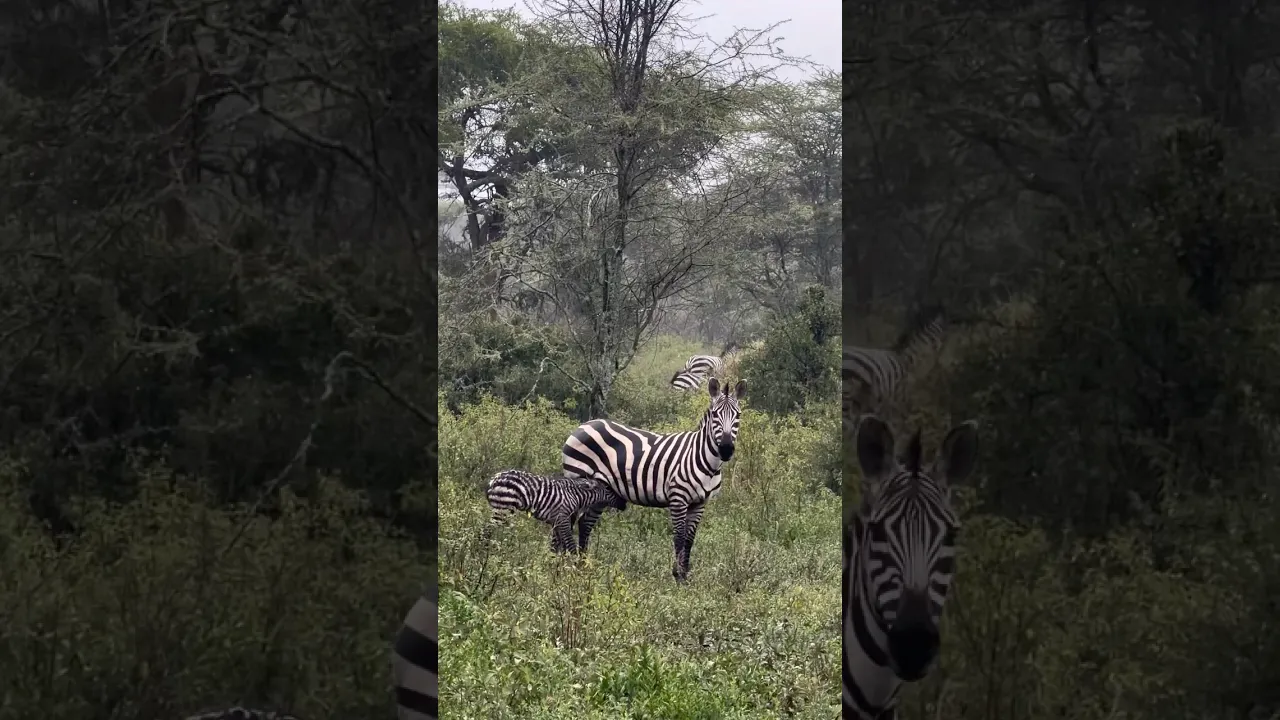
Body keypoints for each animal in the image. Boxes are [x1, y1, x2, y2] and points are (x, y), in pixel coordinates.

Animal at [481, 469, 628, 552]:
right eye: (609, 489)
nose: (624, 504)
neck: (576, 496)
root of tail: (494, 479)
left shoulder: (556, 522)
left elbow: (558, 545)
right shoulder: (562, 518)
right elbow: (570, 544)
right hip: (503, 509)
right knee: (486, 530)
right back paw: (484, 553)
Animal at [563, 376, 746, 582]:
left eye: (738, 415)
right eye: (715, 415)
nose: (726, 450)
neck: (703, 459)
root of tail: (584, 425)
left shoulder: (700, 503)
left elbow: (689, 540)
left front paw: (686, 576)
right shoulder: (678, 498)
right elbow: (679, 537)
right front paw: (677, 575)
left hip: (599, 491)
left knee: (585, 524)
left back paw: (583, 565)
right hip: (577, 479)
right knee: (567, 522)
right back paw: (564, 563)